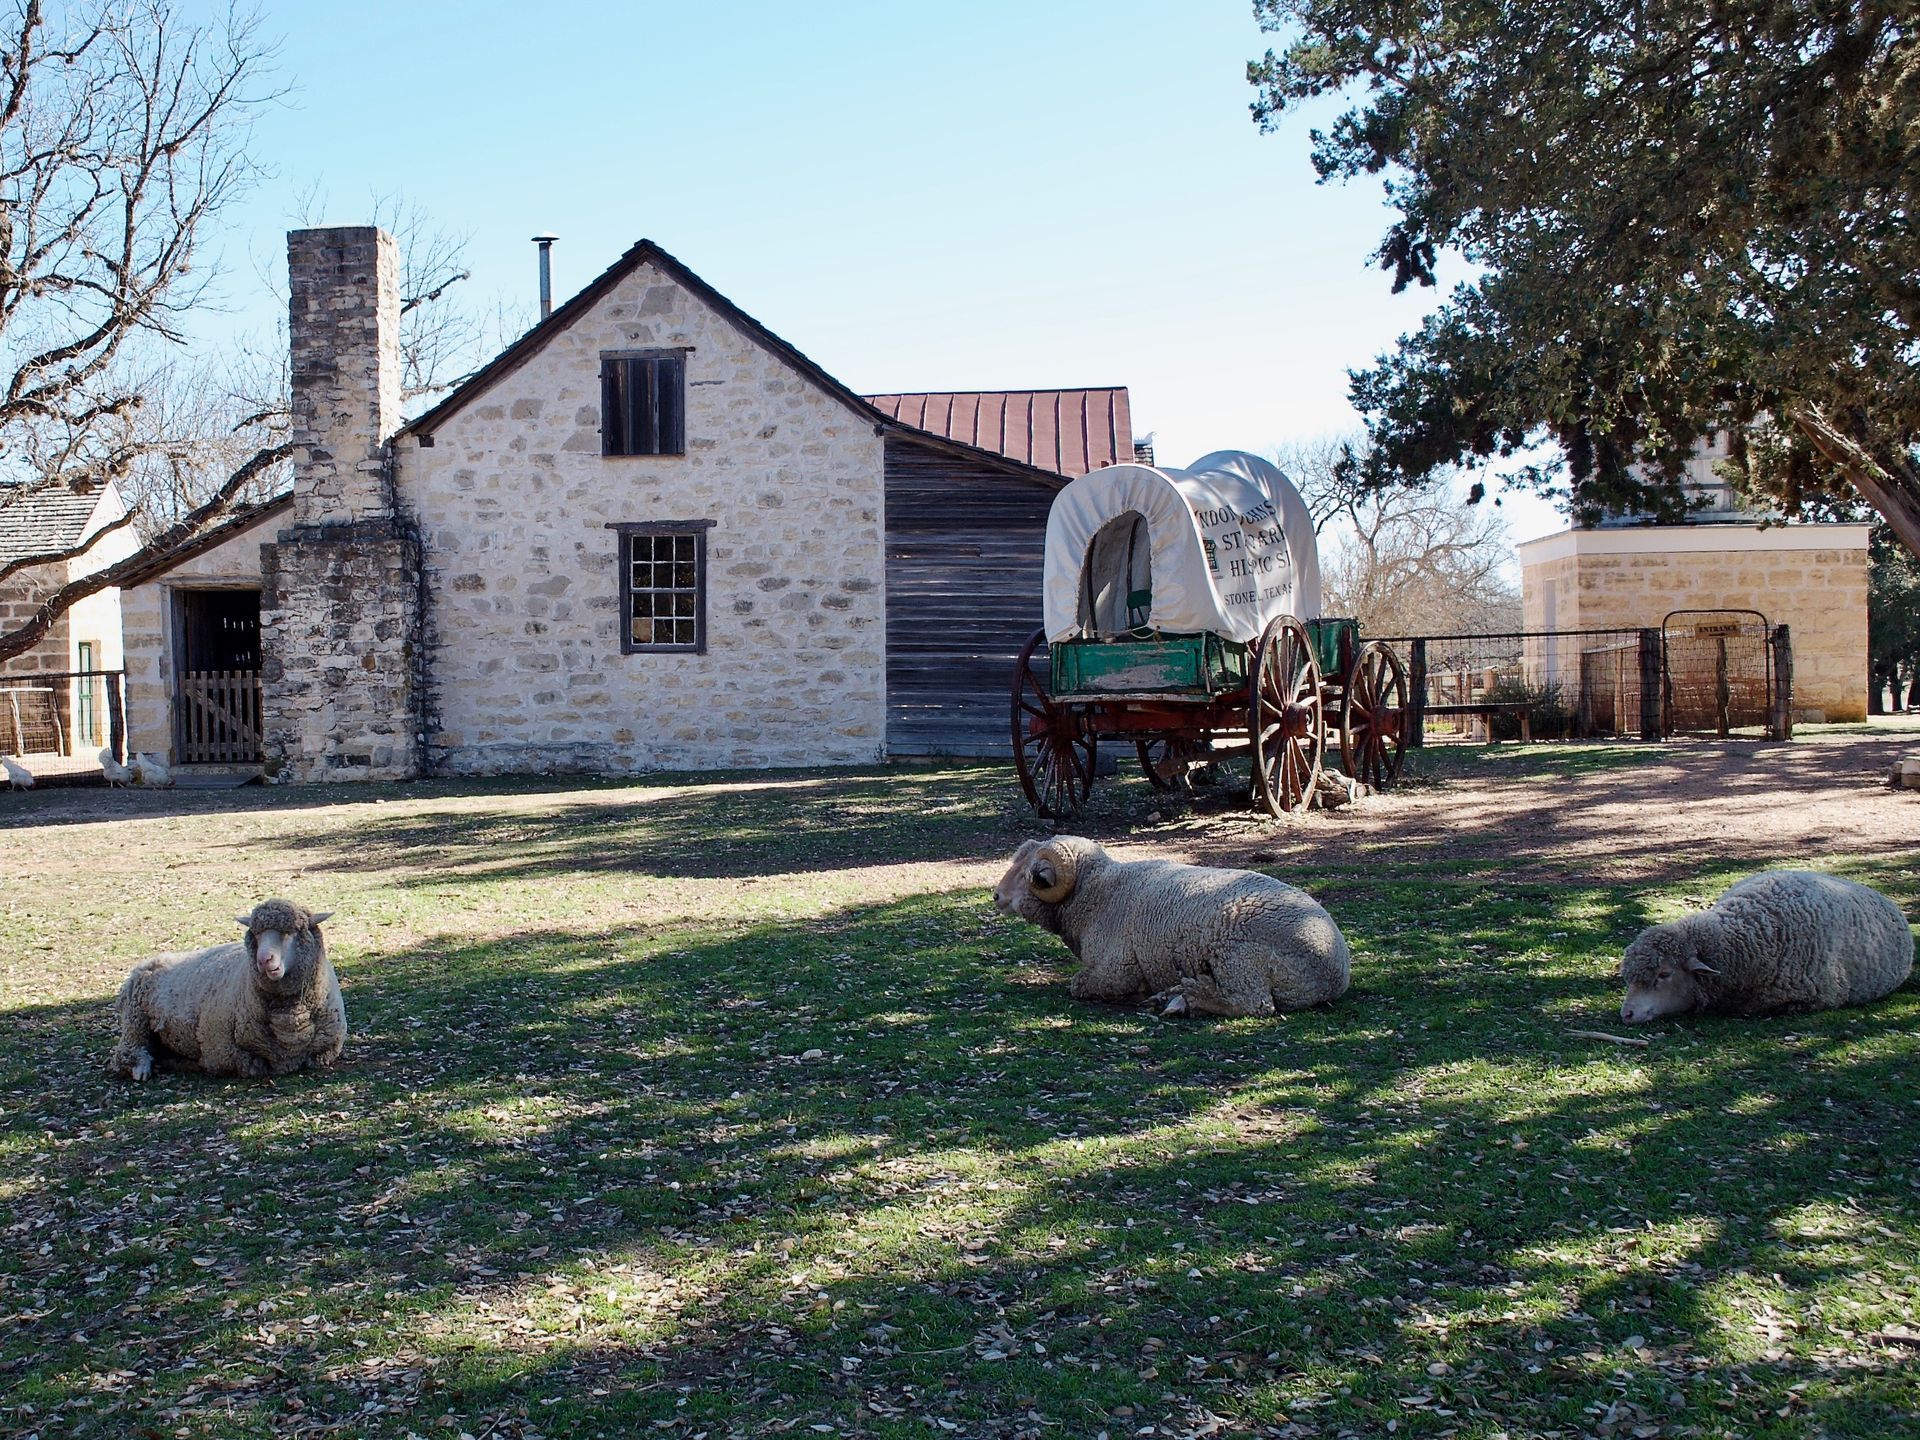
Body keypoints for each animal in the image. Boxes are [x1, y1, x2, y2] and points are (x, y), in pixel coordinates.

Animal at [109, 900, 345, 1081]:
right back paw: (141, 1068)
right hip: (134, 1019)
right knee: (128, 1051)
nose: (264, 960)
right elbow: (251, 1065)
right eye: (256, 934)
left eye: (291, 932)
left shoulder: (328, 1049)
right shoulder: (222, 1051)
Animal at [993, 836, 1351, 1016]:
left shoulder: (1118, 967)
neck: (1099, 894)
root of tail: (1336, 970)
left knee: (1255, 1004)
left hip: (1239, 955)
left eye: (1032, 874)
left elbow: (1079, 984)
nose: (996, 895)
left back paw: (1187, 997)